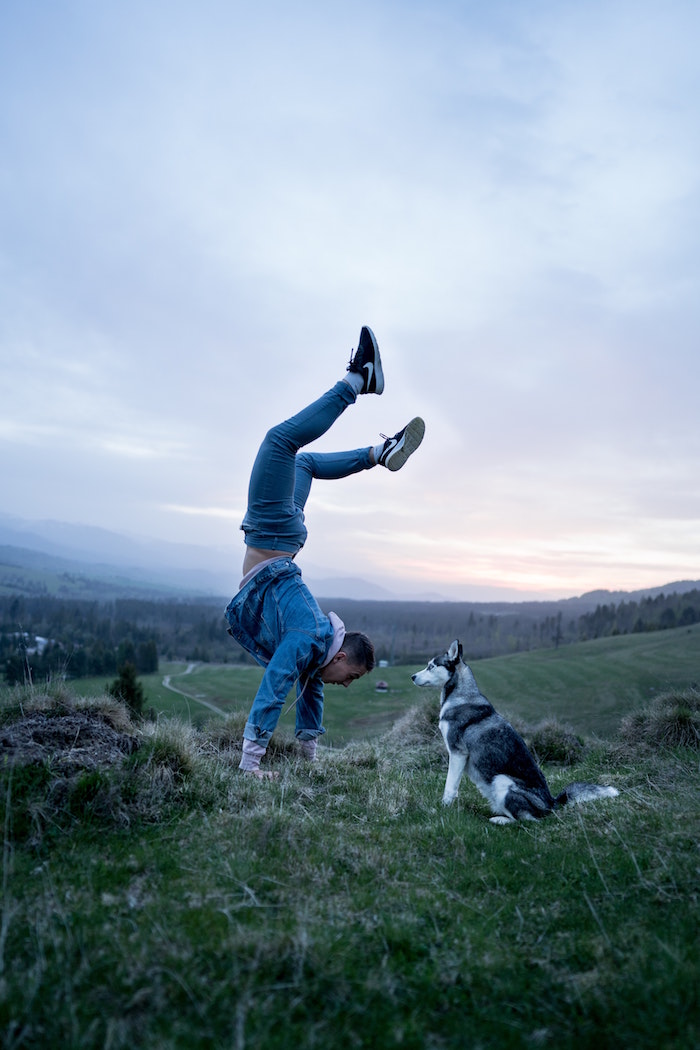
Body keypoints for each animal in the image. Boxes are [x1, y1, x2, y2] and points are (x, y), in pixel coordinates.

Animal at [411, 634, 617, 823]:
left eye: (431, 666)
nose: (412, 676)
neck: (461, 696)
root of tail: (551, 803)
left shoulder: (457, 753)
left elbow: (449, 786)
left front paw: (443, 808)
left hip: (502, 780)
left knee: (527, 820)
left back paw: (500, 820)